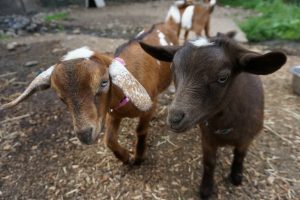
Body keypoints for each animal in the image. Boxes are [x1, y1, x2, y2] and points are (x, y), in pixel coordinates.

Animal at [1, 23, 178, 166]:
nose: (84, 135)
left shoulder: (149, 105)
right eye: (60, 96)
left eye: (104, 82)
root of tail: (162, 24)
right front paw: (125, 158)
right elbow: (109, 139)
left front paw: (139, 157)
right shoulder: (111, 113)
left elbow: (140, 130)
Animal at [139, 34, 288, 198]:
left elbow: (240, 155)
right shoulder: (208, 138)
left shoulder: (246, 139)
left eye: (223, 77)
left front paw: (236, 177)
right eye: (172, 69)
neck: (225, 127)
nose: (175, 118)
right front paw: (206, 189)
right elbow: (209, 163)